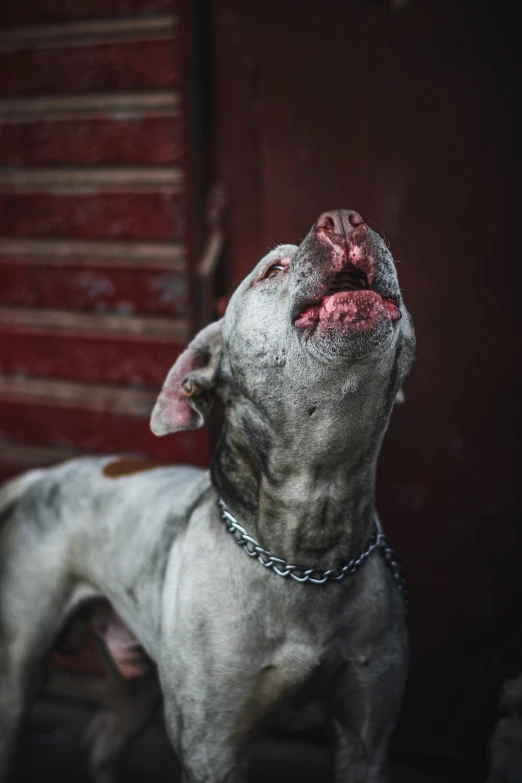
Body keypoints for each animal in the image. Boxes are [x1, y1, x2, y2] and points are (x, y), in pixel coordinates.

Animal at [0, 210, 414, 783]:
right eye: (272, 270)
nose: (343, 218)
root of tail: (41, 475)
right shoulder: (212, 748)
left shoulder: (366, 739)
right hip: (18, 670)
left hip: (136, 684)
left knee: (104, 741)